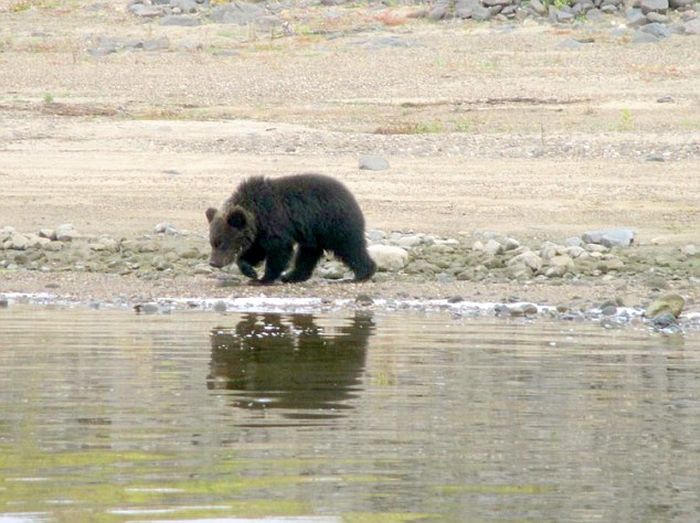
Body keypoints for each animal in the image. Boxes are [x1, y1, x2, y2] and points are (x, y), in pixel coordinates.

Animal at [204, 174, 378, 284]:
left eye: (222, 243)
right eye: (212, 242)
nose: (213, 263)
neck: (257, 214)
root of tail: (351, 197)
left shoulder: (275, 223)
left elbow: (278, 251)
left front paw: (264, 279)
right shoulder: (260, 233)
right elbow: (255, 251)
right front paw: (250, 271)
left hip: (333, 223)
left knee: (349, 247)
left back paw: (361, 274)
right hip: (313, 233)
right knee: (308, 254)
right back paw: (292, 276)